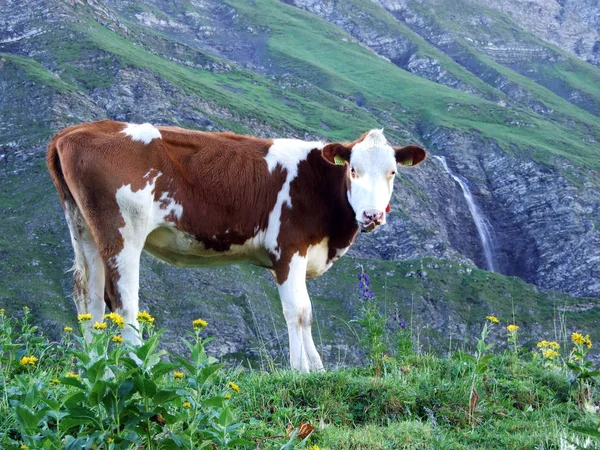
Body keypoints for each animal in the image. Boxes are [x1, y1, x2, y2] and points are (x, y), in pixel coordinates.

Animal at [45, 121, 426, 370]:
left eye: (392, 172)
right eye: (353, 170)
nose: (372, 215)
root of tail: (73, 132)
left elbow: (306, 313)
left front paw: (317, 370)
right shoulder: (288, 249)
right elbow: (297, 311)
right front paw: (300, 372)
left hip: (84, 228)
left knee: (88, 297)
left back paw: (96, 368)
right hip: (122, 231)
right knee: (122, 301)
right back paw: (136, 368)